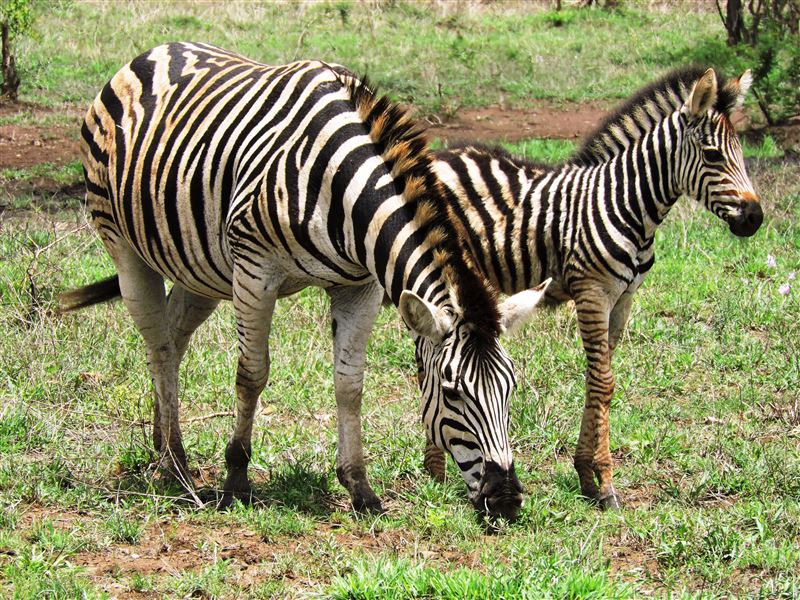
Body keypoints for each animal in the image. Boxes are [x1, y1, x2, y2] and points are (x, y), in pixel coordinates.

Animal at [60, 42, 548, 519]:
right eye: (452, 392)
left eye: (511, 388)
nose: (506, 501)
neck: (341, 187)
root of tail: (154, 52)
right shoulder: (255, 270)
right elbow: (252, 374)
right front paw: (236, 479)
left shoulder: (361, 286)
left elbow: (350, 385)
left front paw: (360, 488)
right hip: (125, 246)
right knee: (159, 347)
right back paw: (177, 466)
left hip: (200, 269)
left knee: (174, 339)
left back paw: (162, 446)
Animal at [421, 67, 762, 509]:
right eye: (713, 155)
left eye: (740, 152)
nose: (754, 218)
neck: (628, 204)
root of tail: (438, 156)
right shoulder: (591, 291)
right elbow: (604, 382)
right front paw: (605, 483)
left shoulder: (624, 298)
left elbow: (598, 382)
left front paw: (587, 475)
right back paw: (435, 471)